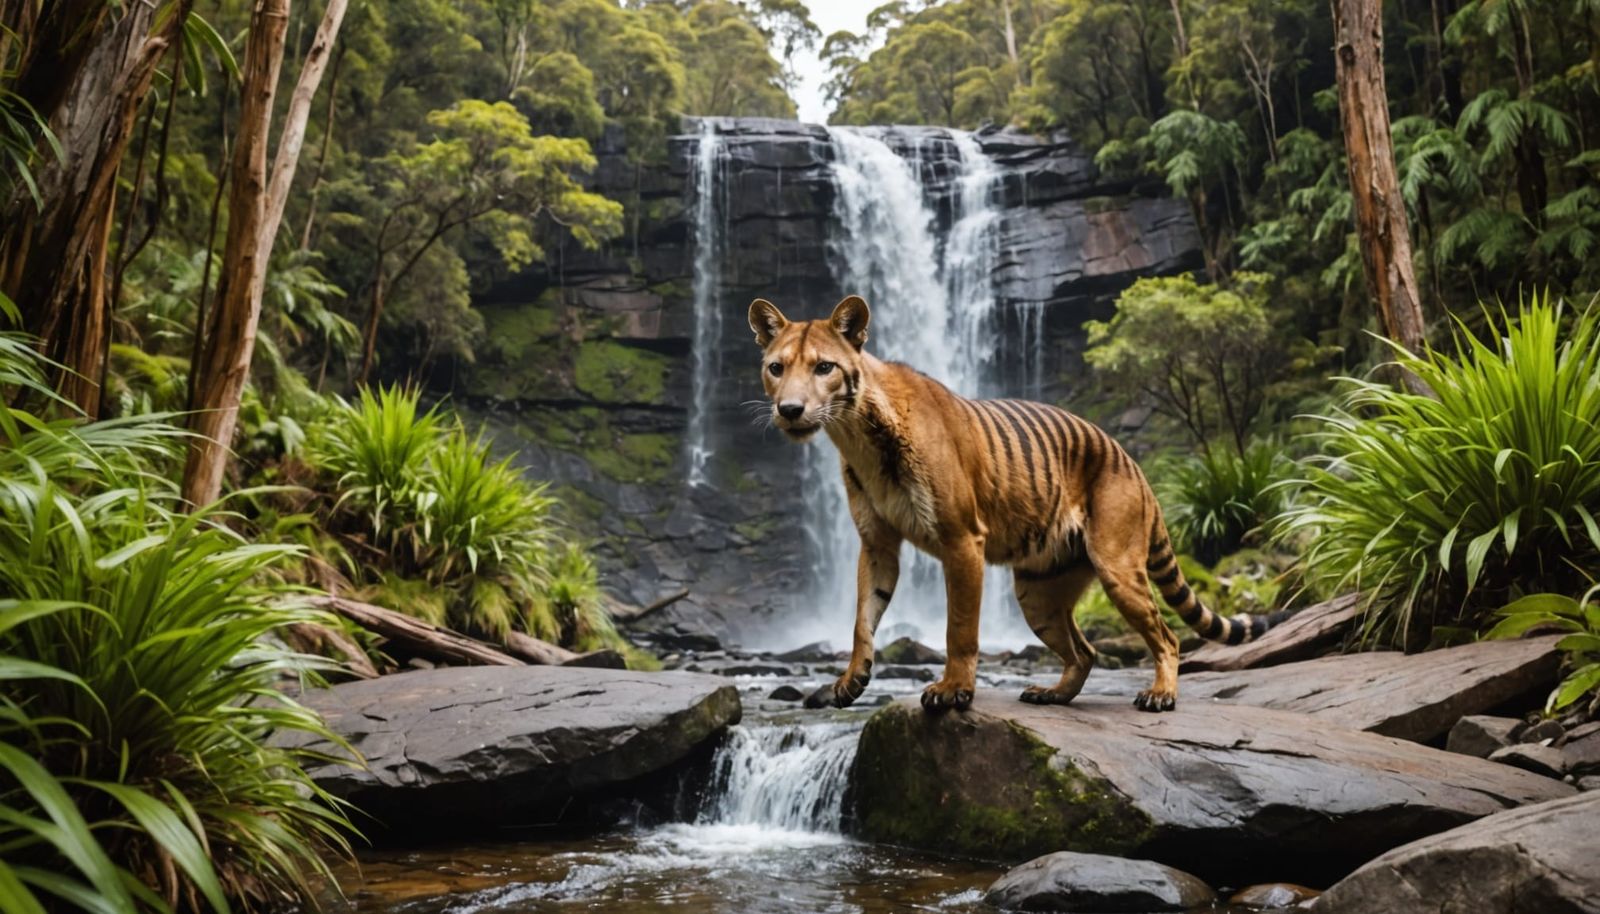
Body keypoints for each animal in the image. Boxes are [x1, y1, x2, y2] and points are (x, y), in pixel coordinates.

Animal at [748, 294, 1286, 713]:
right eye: (776, 368)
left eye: (823, 367)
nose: (790, 410)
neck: (855, 433)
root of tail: (1134, 464)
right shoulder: (877, 544)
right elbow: (863, 618)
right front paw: (851, 681)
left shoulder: (962, 541)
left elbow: (960, 627)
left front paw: (953, 690)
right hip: (1038, 594)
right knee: (1085, 651)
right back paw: (1053, 694)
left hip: (1118, 568)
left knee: (1167, 637)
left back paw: (1160, 695)